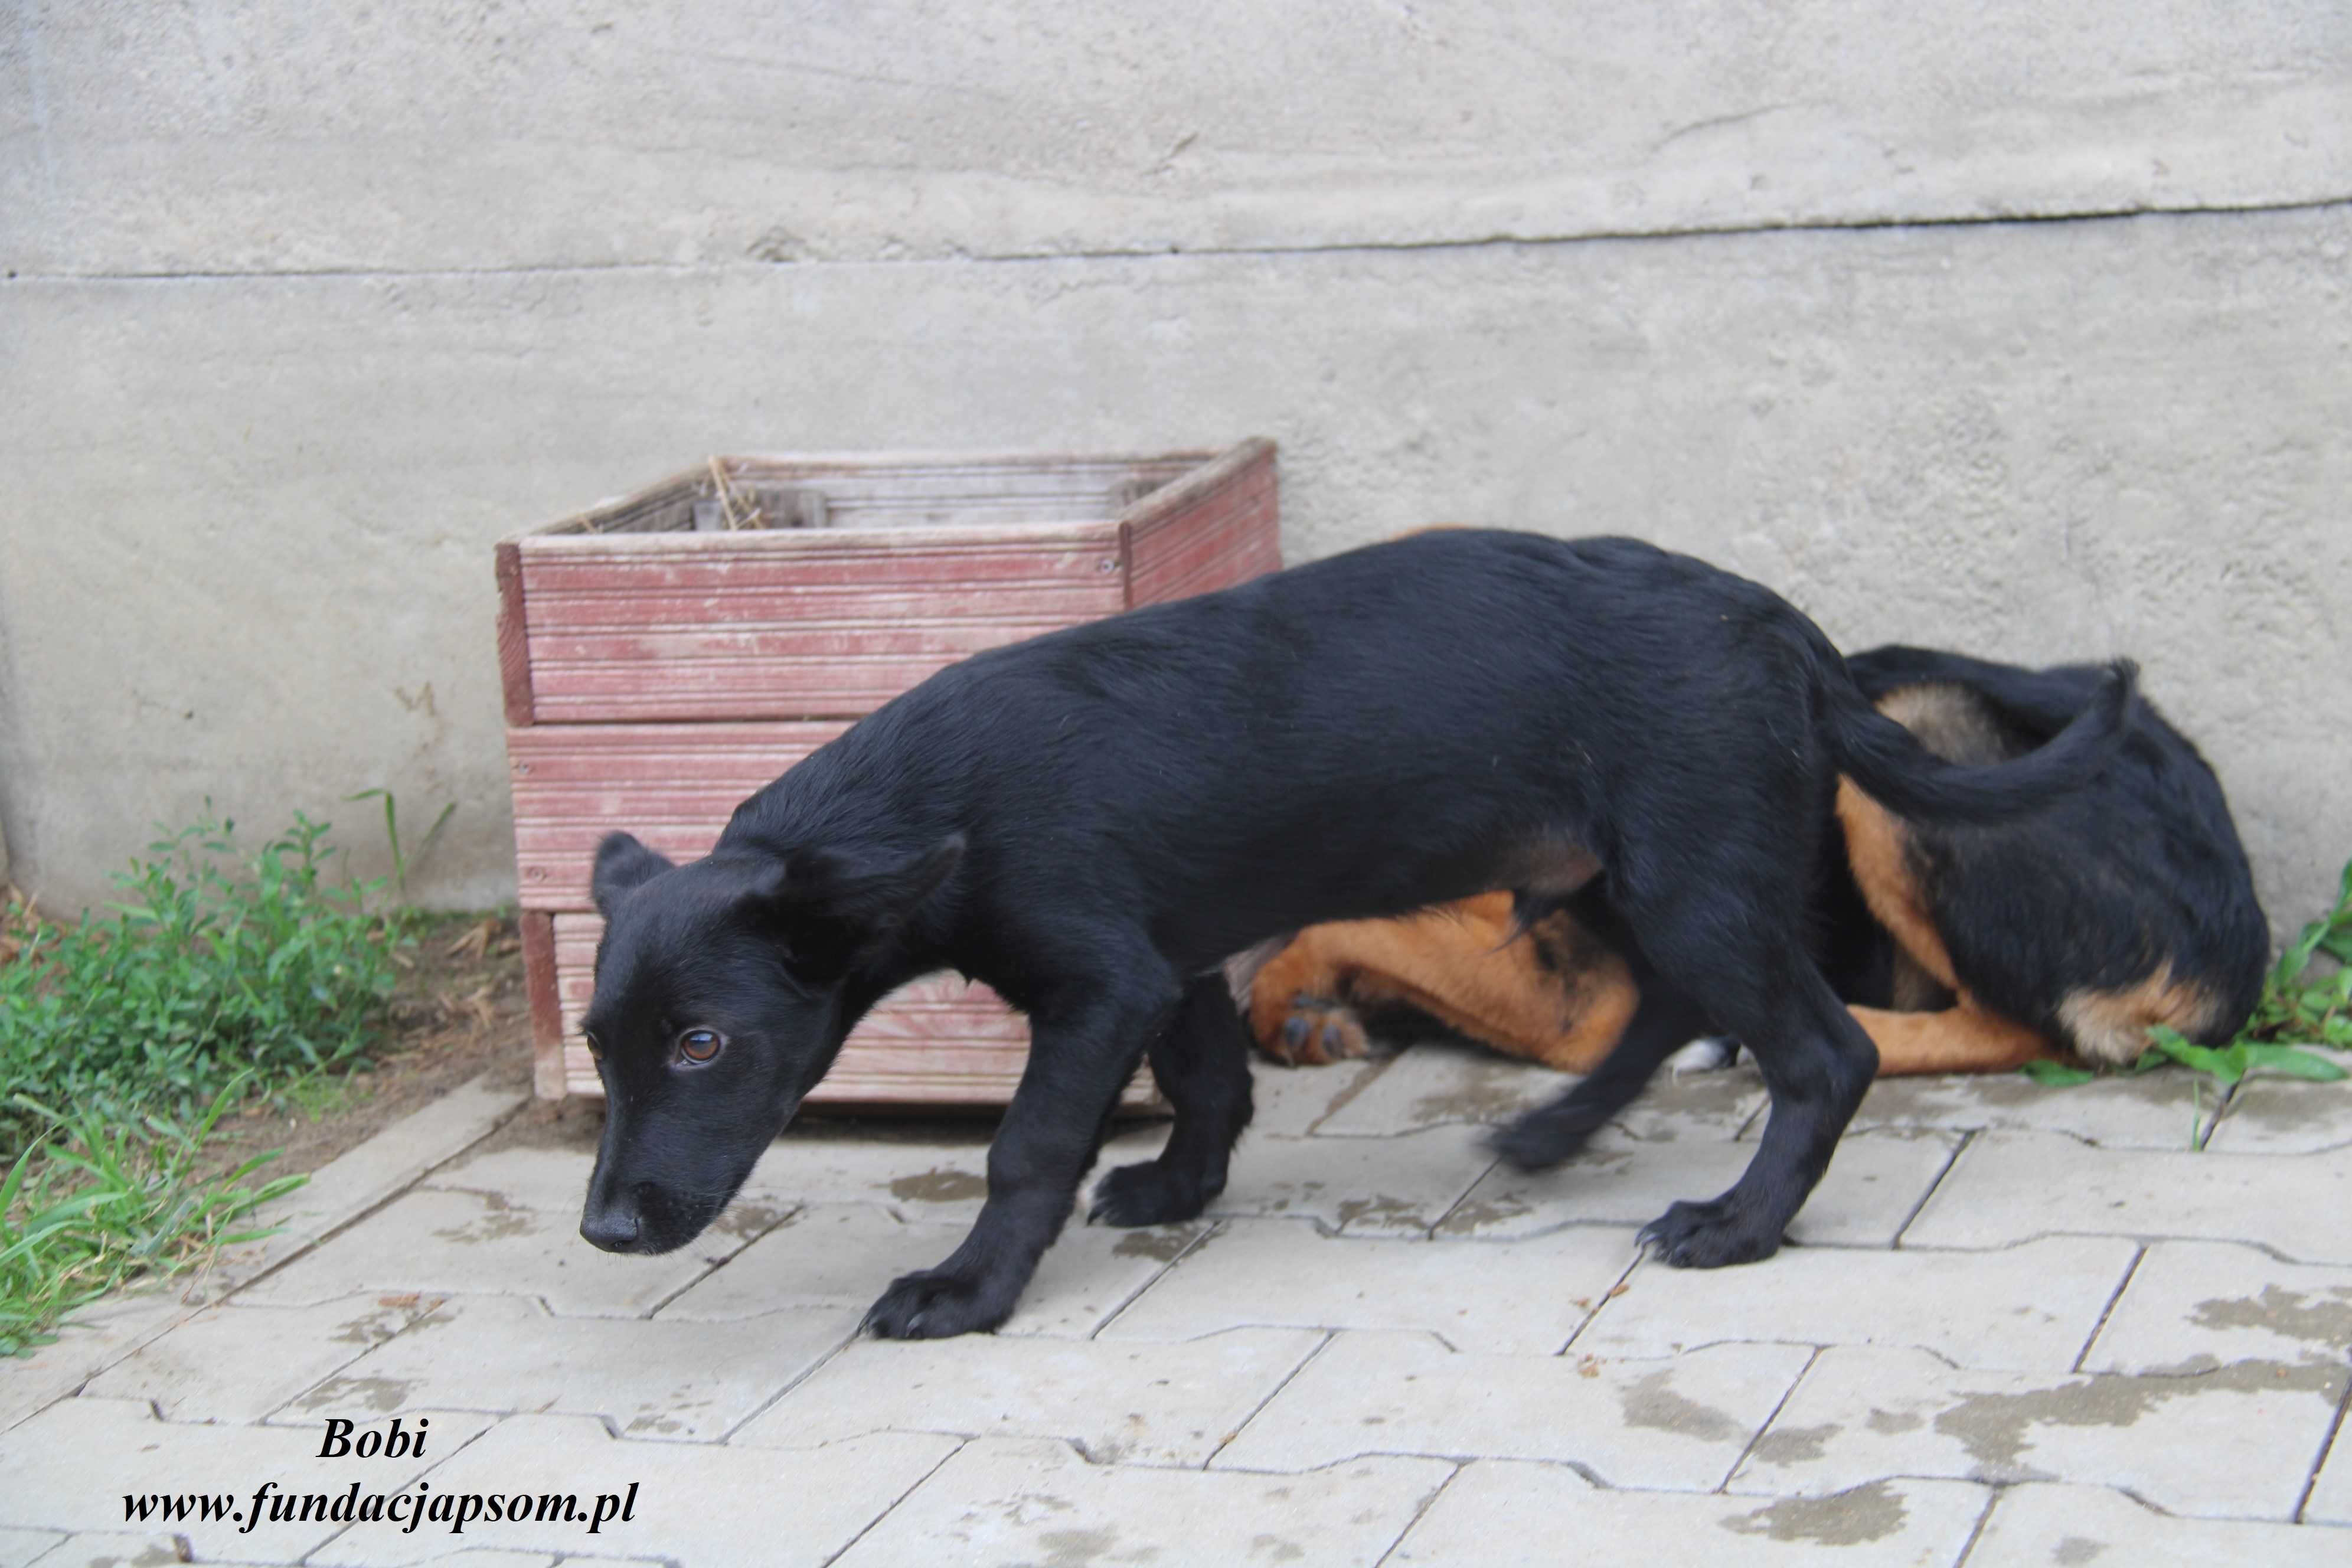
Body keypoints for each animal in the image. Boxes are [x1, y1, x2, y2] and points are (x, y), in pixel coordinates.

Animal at [583, 533, 2135, 1344]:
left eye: (704, 1043)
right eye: (600, 1047)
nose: (604, 1229)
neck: (921, 804)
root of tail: (1785, 632)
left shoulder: (1098, 979)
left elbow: (1025, 1146)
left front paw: (967, 1289)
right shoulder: (1169, 959)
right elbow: (1210, 1077)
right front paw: (1181, 1186)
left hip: (1692, 875)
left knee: (1822, 1053)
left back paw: (1739, 1224)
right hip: (1626, 875)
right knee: (1655, 1008)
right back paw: (1554, 1133)